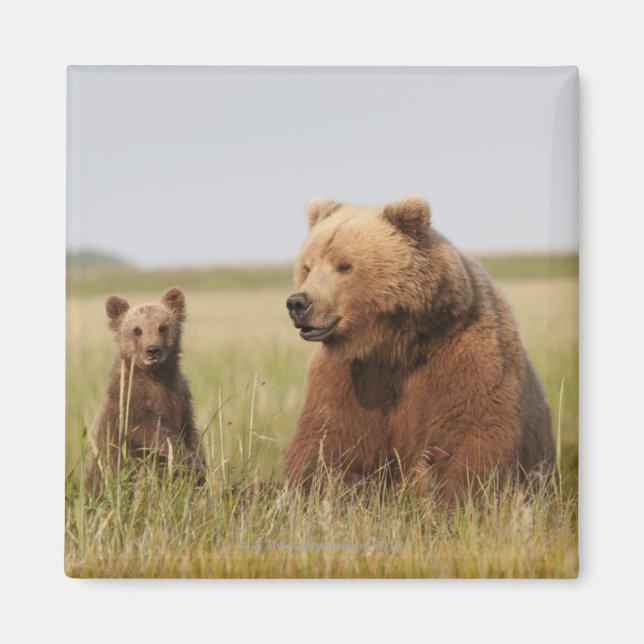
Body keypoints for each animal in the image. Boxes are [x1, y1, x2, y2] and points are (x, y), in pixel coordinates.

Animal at [86, 287, 205, 492]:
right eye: (137, 329)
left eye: (162, 327)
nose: (153, 350)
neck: (155, 374)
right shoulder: (131, 398)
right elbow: (148, 430)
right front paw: (186, 458)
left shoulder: (180, 394)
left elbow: (189, 430)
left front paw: (198, 464)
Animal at [284, 195, 555, 502]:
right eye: (307, 267)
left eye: (344, 265)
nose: (298, 303)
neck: (395, 345)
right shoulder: (347, 375)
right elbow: (325, 437)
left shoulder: (463, 353)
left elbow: (471, 432)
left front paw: (459, 499)